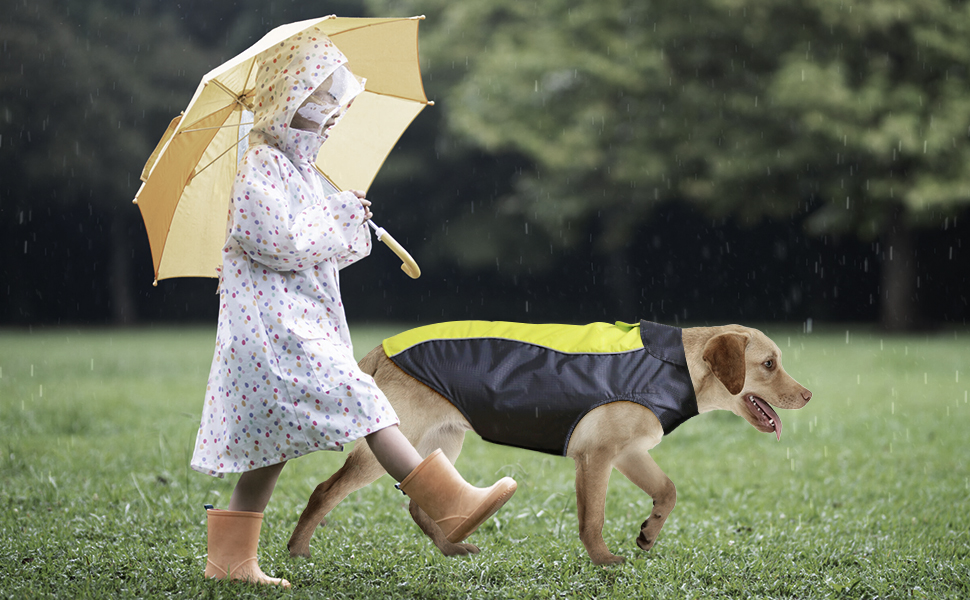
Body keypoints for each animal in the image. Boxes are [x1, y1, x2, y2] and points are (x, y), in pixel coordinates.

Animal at [286, 322, 808, 564]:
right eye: (769, 364)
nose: (807, 395)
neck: (673, 365)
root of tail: (382, 348)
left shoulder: (629, 453)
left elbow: (668, 490)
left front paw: (649, 532)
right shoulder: (596, 457)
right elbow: (592, 518)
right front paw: (604, 561)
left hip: (441, 445)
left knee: (420, 501)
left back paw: (452, 549)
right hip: (388, 444)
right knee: (324, 492)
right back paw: (297, 552)